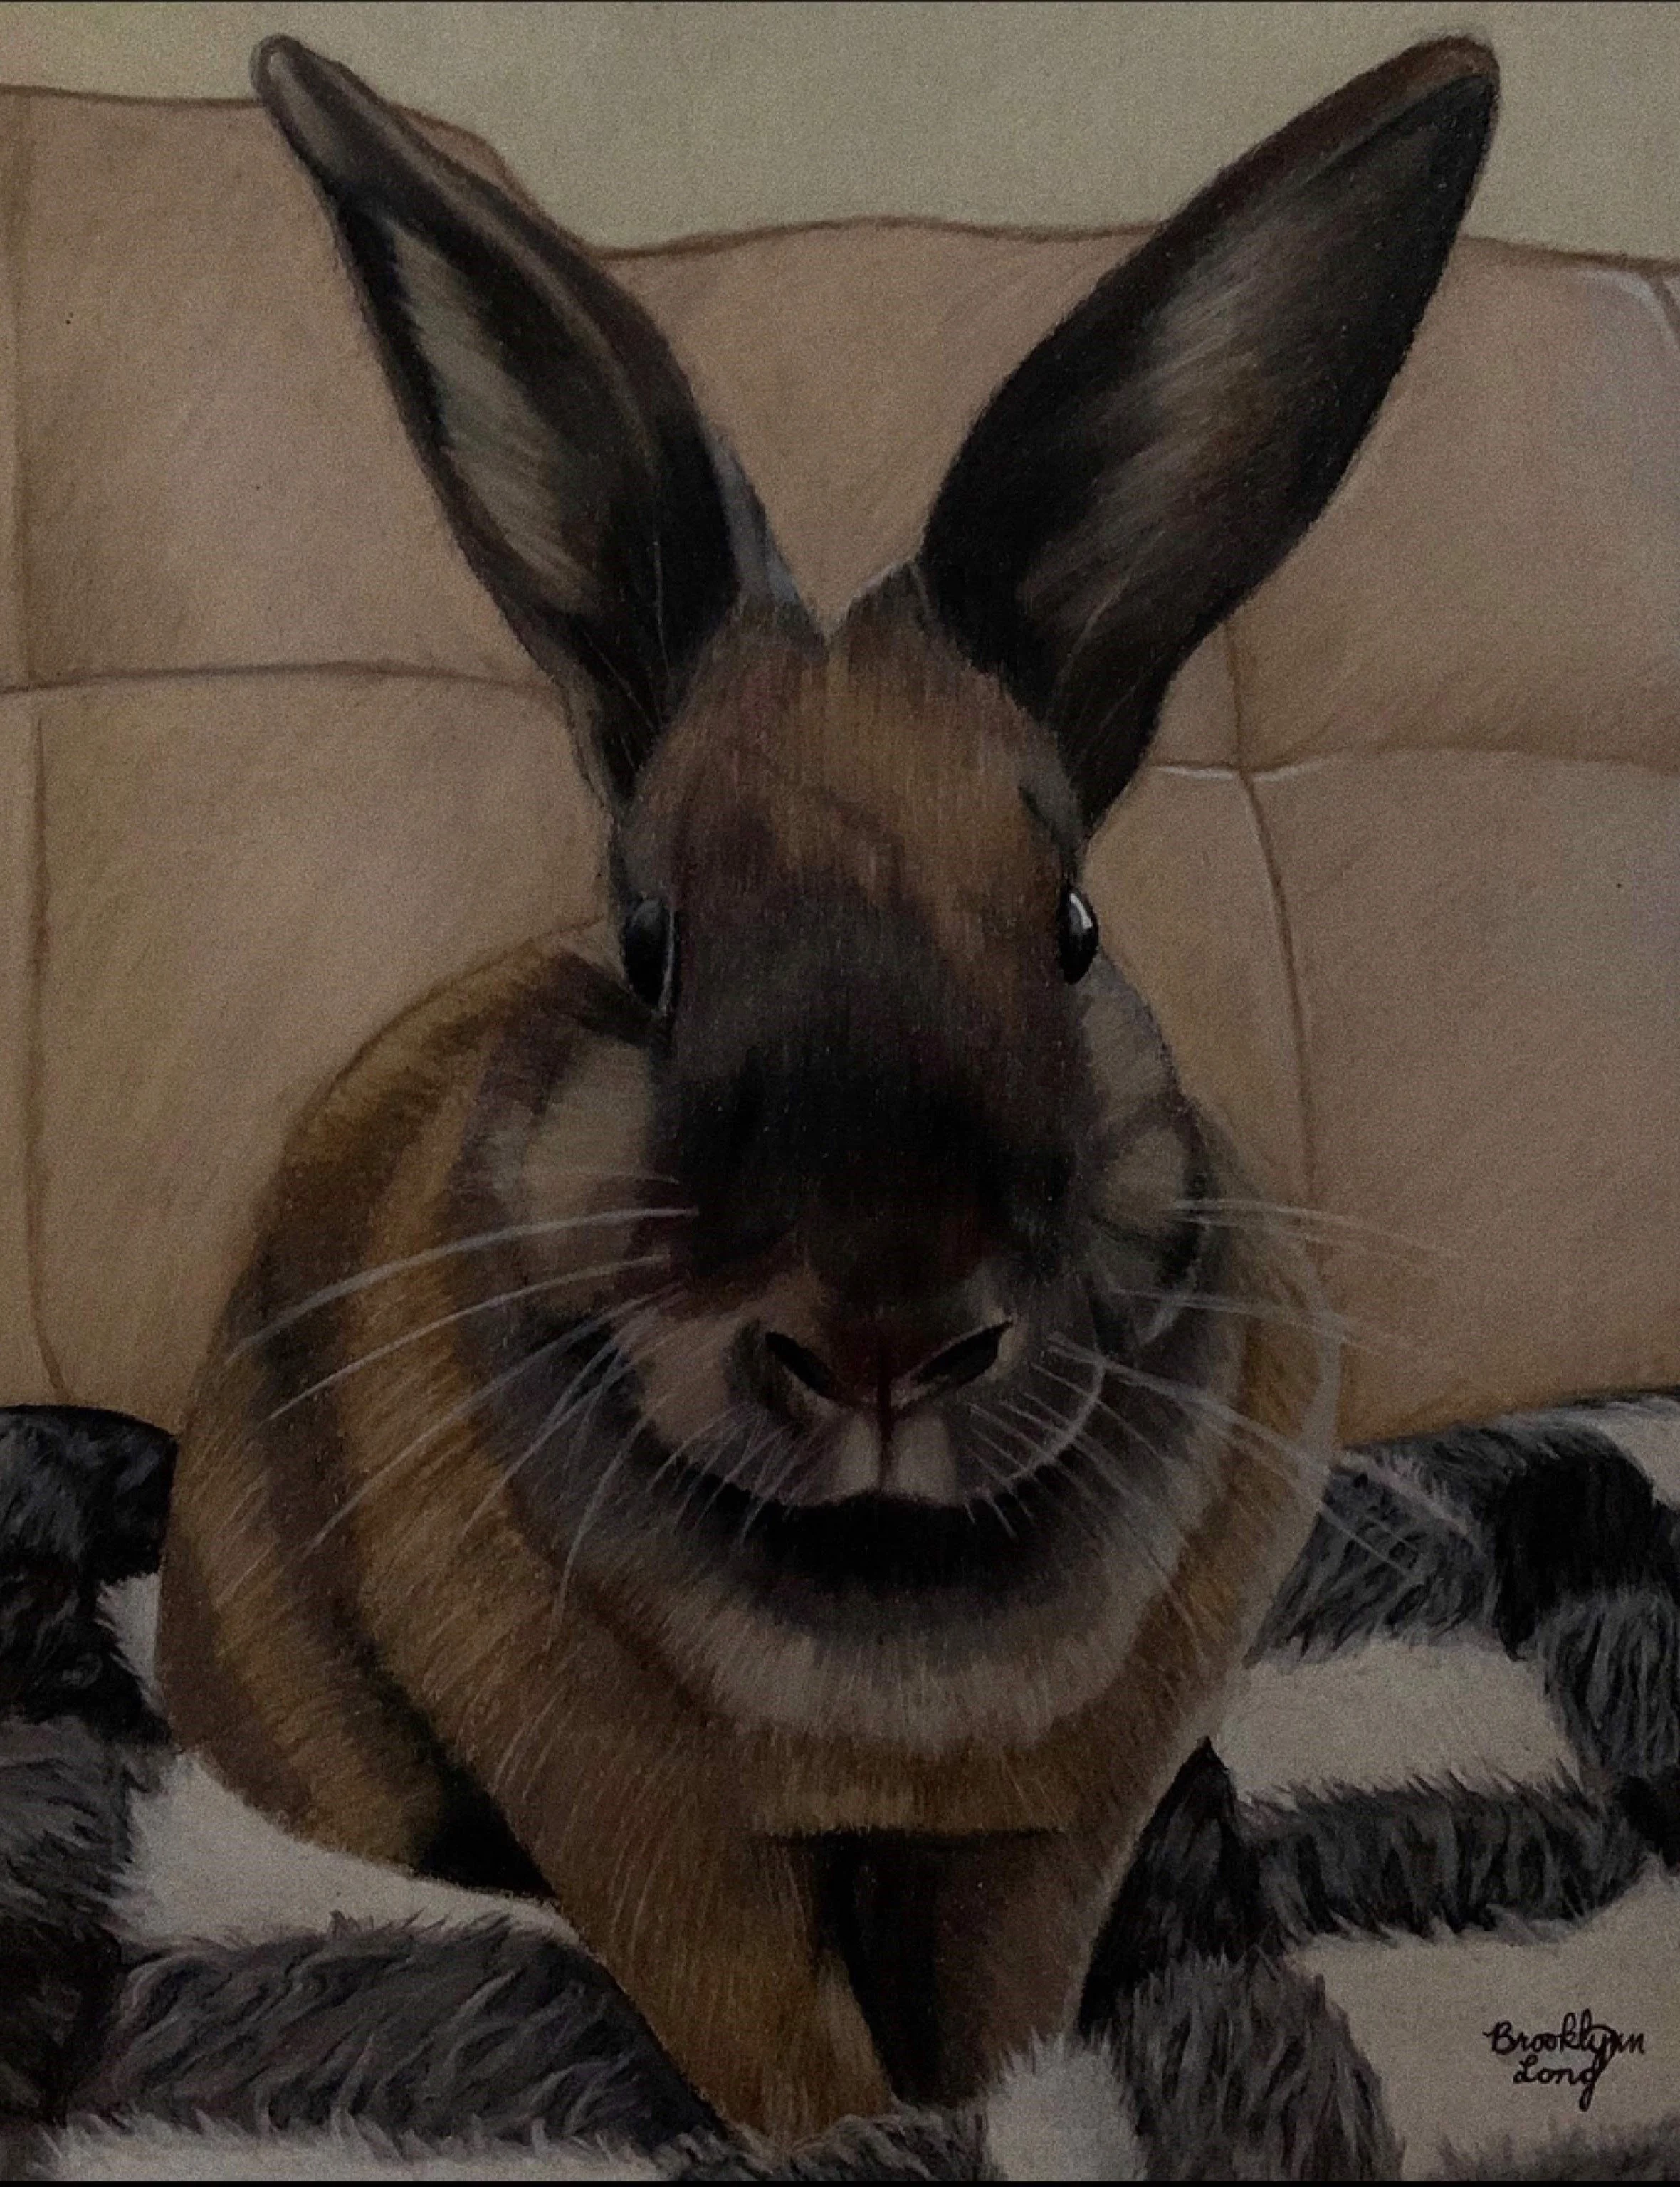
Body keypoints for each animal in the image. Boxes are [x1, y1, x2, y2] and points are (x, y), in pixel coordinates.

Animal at [156, 32, 1497, 2145]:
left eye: (1072, 922)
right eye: (648, 940)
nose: (881, 1337)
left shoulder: (1048, 1835)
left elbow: (1000, 2005)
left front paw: (983, 2097)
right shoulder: (652, 1837)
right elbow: (776, 2042)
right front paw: (859, 2131)